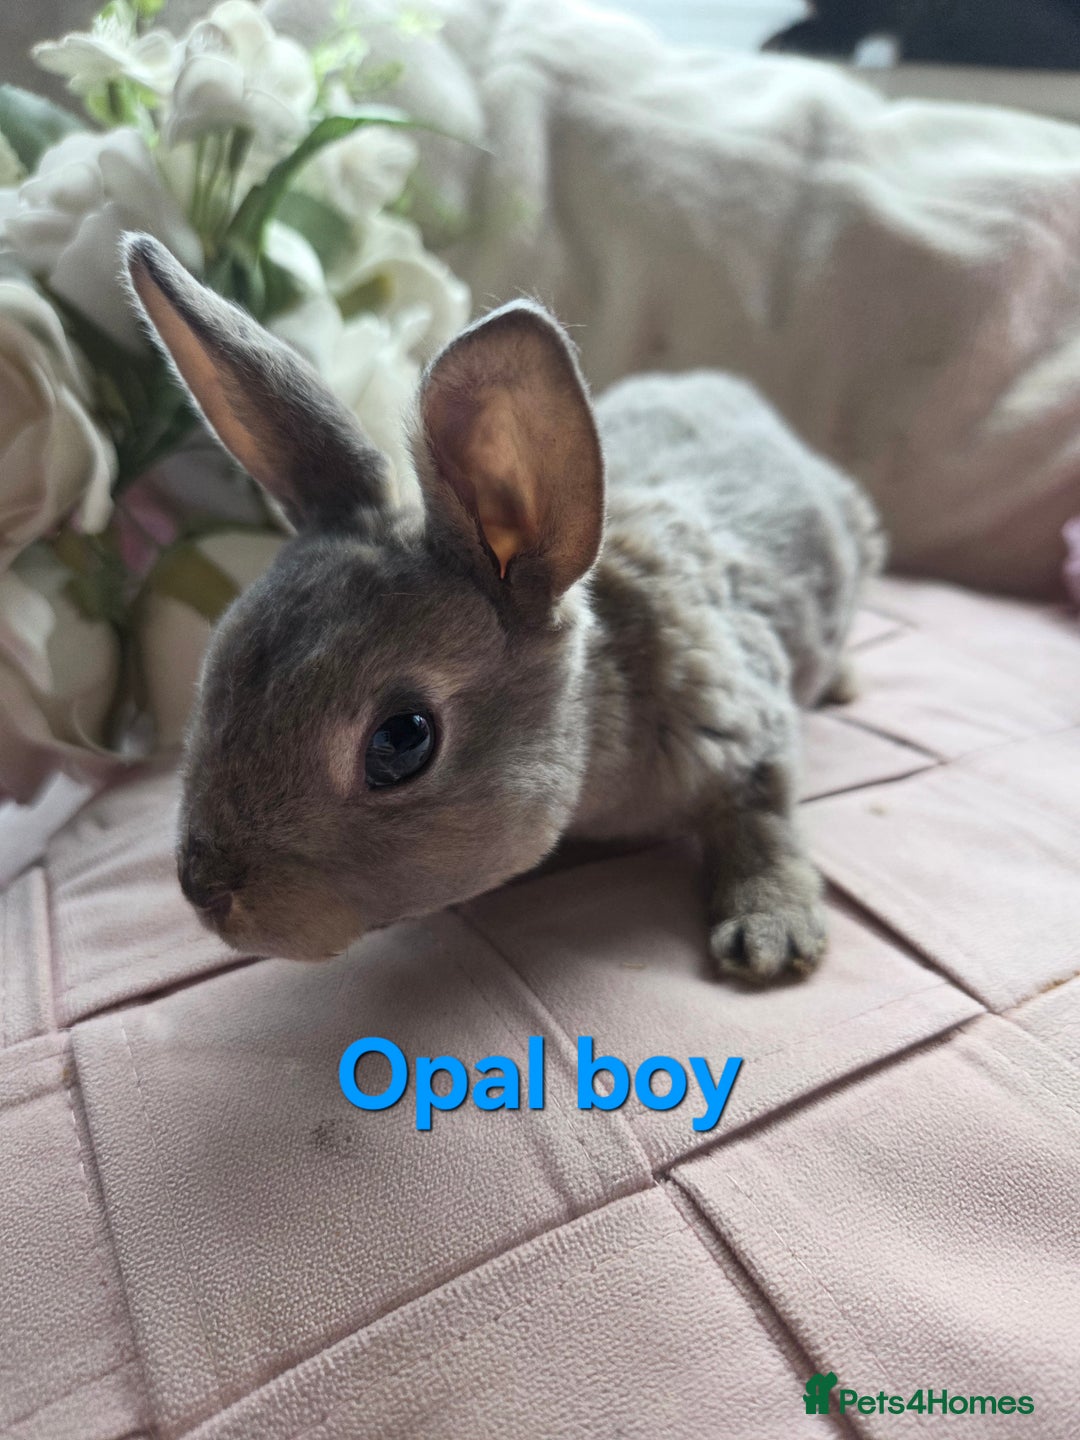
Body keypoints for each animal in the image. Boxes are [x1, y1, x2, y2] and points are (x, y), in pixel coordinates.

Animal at [124, 233, 883, 981]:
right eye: (216, 666)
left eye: (401, 742)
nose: (204, 889)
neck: (603, 694)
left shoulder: (743, 730)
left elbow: (764, 819)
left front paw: (770, 936)